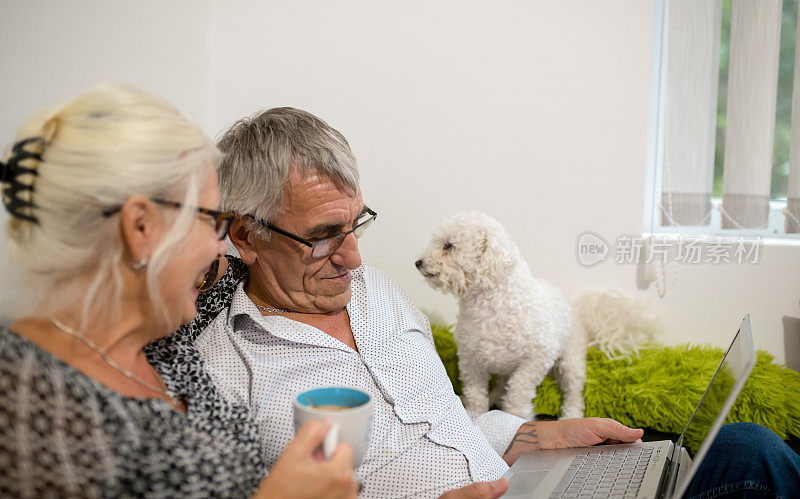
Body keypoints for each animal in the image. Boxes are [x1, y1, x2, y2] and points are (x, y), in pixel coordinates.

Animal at [416, 211, 584, 422]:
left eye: (448, 245)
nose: (418, 262)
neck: (491, 307)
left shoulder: (537, 358)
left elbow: (518, 391)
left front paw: (517, 416)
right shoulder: (471, 361)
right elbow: (475, 394)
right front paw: (477, 414)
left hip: (571, 358)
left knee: (574, 391)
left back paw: (572, 415)